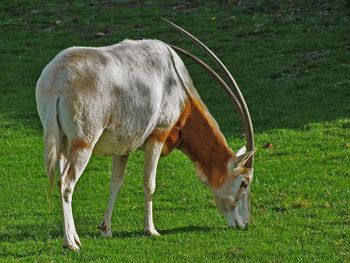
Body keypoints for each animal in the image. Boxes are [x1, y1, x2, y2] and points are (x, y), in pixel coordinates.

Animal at [35, 19, 254, 252]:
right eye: (244, 182)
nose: (245, 224)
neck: (178, 87)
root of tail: (56, 80)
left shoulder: (123, 146)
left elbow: (116, 182)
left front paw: (106, 229)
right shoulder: (158, 134)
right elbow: (150, 183)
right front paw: (151, 230)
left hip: (62, 142)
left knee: (61, 178)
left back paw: (73, 236)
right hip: (83, 142)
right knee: (67, 183)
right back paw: (71, 242)